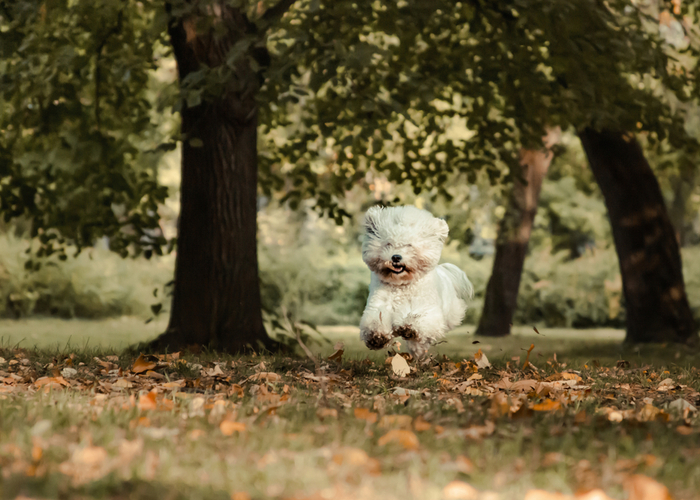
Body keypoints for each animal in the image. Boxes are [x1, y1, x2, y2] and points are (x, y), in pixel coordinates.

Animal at [358, 205, 474, 358]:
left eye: (409, 245)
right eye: (388, 244)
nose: (396, 257)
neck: (401, 284)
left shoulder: (428, 310)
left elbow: (418, 319)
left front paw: (409, 327)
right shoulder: (378, 305)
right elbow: (376, 320)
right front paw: (377, 337)